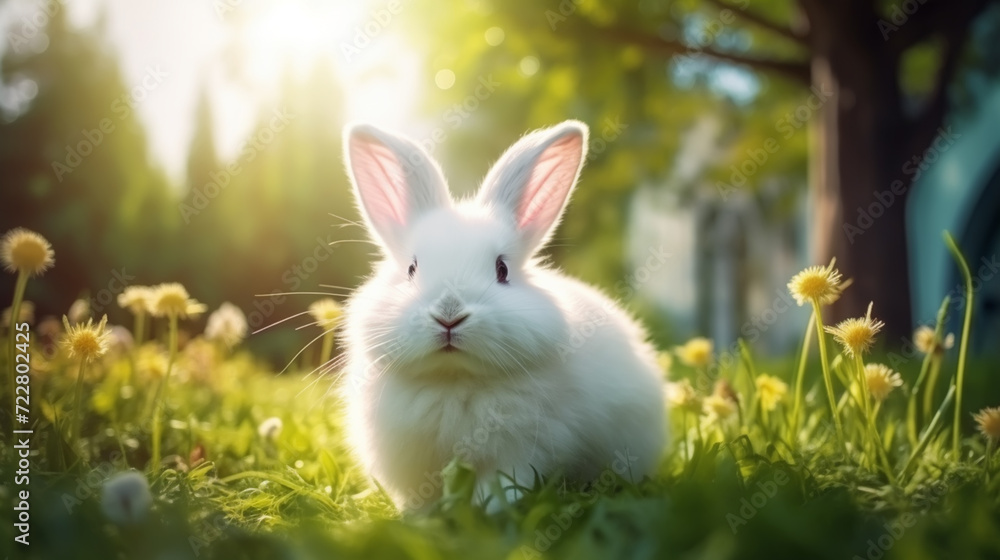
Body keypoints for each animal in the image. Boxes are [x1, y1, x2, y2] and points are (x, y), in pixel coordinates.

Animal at [340, 120, 666, 512]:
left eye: (502, 269)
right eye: (411, 268)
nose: (449, 315)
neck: (455, 379)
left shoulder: (521, 452)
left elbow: (501, 486)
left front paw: (488, 512)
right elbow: (420, 497)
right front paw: (418, 517)